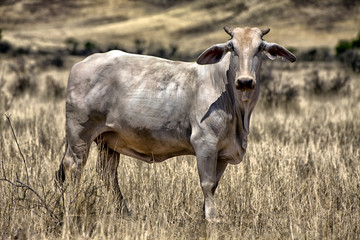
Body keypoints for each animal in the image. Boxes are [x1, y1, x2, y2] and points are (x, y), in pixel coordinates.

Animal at [56, 26, 296, 221]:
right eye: (232, 48)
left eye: (259, 48)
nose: (245, 81)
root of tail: (82, 63)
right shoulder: (205, 143)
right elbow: (207, 183)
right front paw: (212, 219)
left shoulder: (223, 152)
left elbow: (214, 185)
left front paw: (205, 214)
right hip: (79, 134)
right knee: (74, 167)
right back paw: (71, 210)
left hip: (108, 141)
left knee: (108, 175)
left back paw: (125, 212)